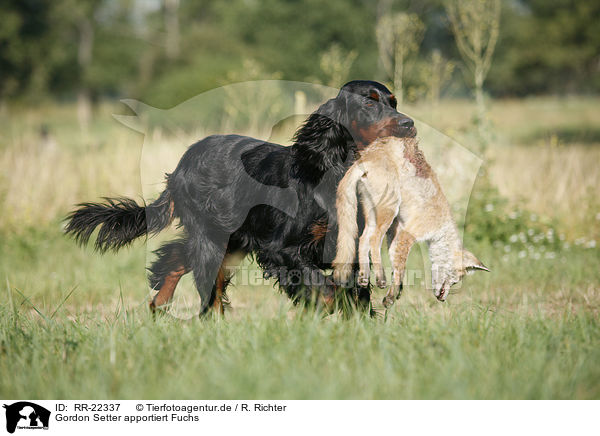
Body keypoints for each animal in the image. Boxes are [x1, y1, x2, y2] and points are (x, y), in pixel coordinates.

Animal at [64, 80, 412, 316]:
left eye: (393, 102)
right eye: (369, 103)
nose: (408, 124)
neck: (334, 167)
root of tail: (180, 167)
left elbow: (354, 294)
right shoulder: (282, 251)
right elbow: (325, 290)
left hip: (230, 238)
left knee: (177, 257)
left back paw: (160, 304)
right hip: (213, 239)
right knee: (209, 293)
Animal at [332, 136, 488, 306]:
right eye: (455, 279)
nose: (443, 298)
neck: (440, 226)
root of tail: (368, 157)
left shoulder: (397, 232)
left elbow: (396, 265)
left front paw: (395, 293)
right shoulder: (408, 234)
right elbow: (401, 268)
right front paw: (390, 297)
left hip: (374, 214)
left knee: (362, 239)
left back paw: (364, 276)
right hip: (389, 211)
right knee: (373, 240)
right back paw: (380, 278)